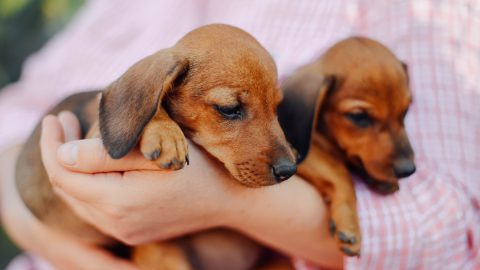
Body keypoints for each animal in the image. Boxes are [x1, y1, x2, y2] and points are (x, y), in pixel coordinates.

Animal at [15, 24, 296, 268]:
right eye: (229, 109)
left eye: (276, 108)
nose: (289, 170)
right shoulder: (94, 137)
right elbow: (153, 106)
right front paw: (164, 133)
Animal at [278, 37, 416, 256]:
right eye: (359, 116)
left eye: (405, 112)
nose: (408, 170)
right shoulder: (302, 154)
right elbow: (340, 173)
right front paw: (350, 225)